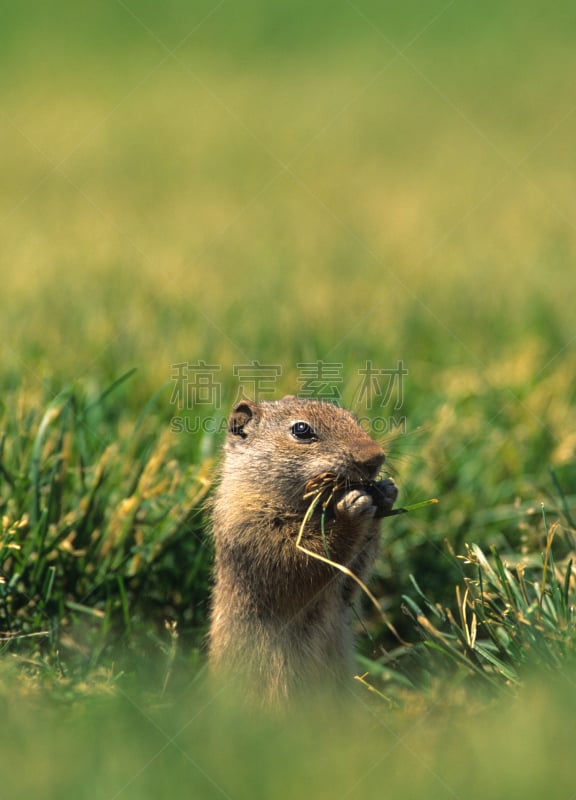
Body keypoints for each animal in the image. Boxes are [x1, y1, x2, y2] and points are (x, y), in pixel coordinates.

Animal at [209, 396, 398, 704]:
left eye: (353, 419)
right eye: (301, 430)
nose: (376, 458)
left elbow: (350, 583)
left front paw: (387, 491)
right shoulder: (251, 530)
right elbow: (302, 566)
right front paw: (352, 507)